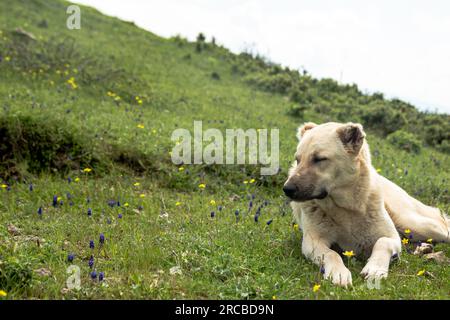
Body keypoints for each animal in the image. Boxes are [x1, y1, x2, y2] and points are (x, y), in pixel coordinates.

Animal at [284, 121, 448, 286]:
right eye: (298, 159)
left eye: (319, 159)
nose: (287, 189)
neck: (346, 208)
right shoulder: (312, 242)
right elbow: (331, 254)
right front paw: (338, 272)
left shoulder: (391, 237)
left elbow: (382, 242)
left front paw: (375, 269)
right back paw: (423, 248)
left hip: (412, 223)